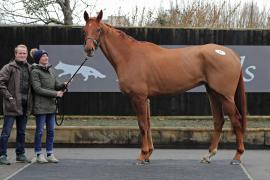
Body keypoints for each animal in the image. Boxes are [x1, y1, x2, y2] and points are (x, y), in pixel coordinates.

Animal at [82, 9, 247, 165]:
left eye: (98, 29)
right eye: (84, 30)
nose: (88, 49)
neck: (129, 56)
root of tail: (231, 54)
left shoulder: (138, 98)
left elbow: (142, 125)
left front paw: (142, 156)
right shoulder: (146, 99)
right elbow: (148, 125)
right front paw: (147, 155)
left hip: (225, 96)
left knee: (236, 120)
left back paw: (237, 157)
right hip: (213, 93)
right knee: (218, 121)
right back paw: (209, 155)